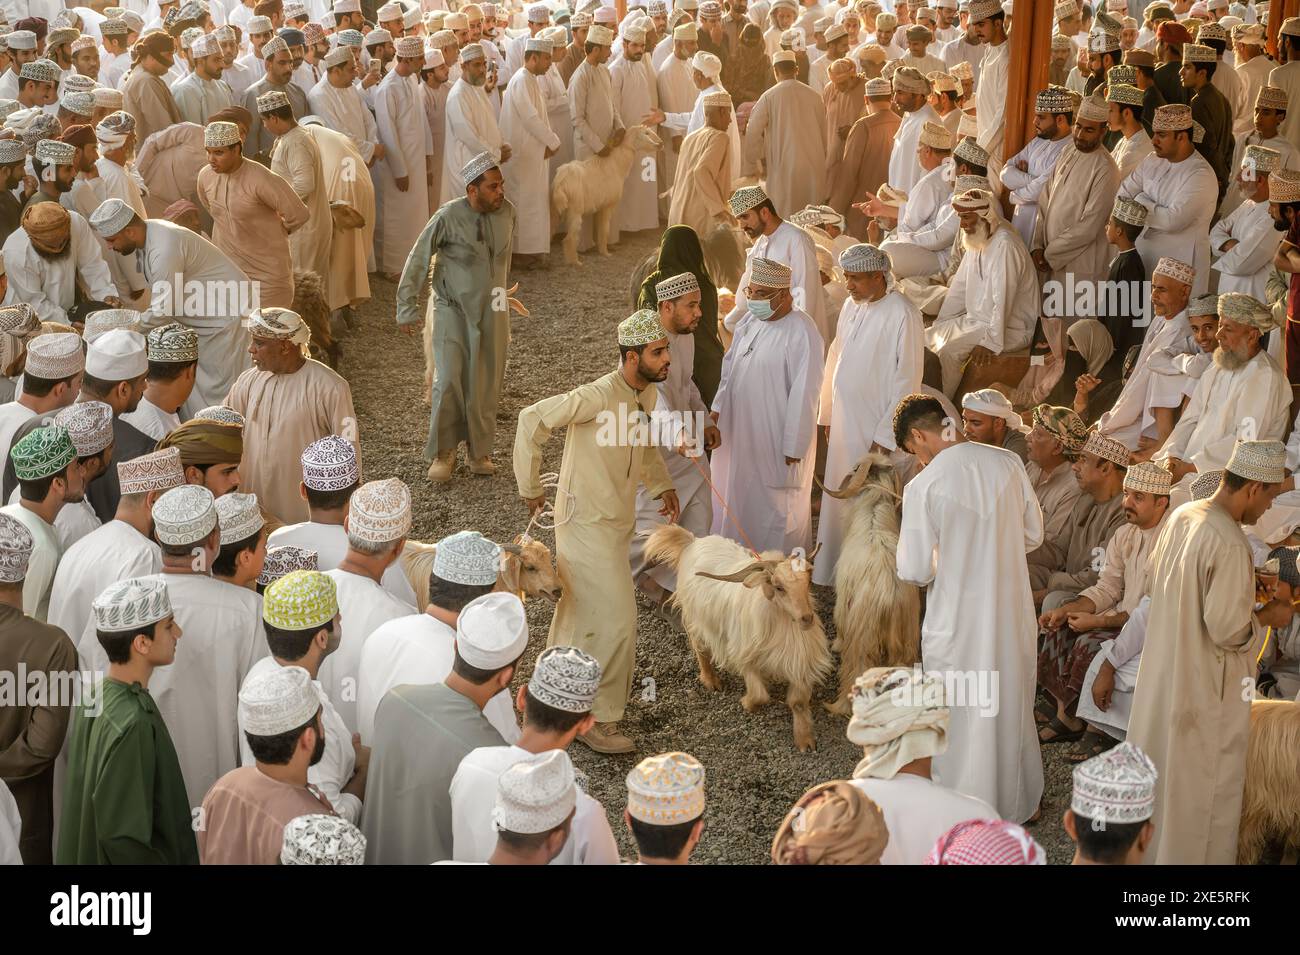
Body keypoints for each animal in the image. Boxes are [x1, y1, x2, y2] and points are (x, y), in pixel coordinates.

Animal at [647, 522, 832, 753]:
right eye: (779, 587)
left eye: (807, 583)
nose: (806, 619)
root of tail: (693, 541)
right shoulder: (744, 655)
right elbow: (760, 695)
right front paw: (747, 703)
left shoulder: (799, 661)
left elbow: (798, 702)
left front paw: (804, 740)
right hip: (696, 619)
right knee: (700, 648)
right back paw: (711, 681)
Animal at [816, 454, 920, 717]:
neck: (874, 511)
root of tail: (890, 596)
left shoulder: (843, 604)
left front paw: (835, 645)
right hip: (907, 642)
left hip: (863, 639)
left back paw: (839, 705)